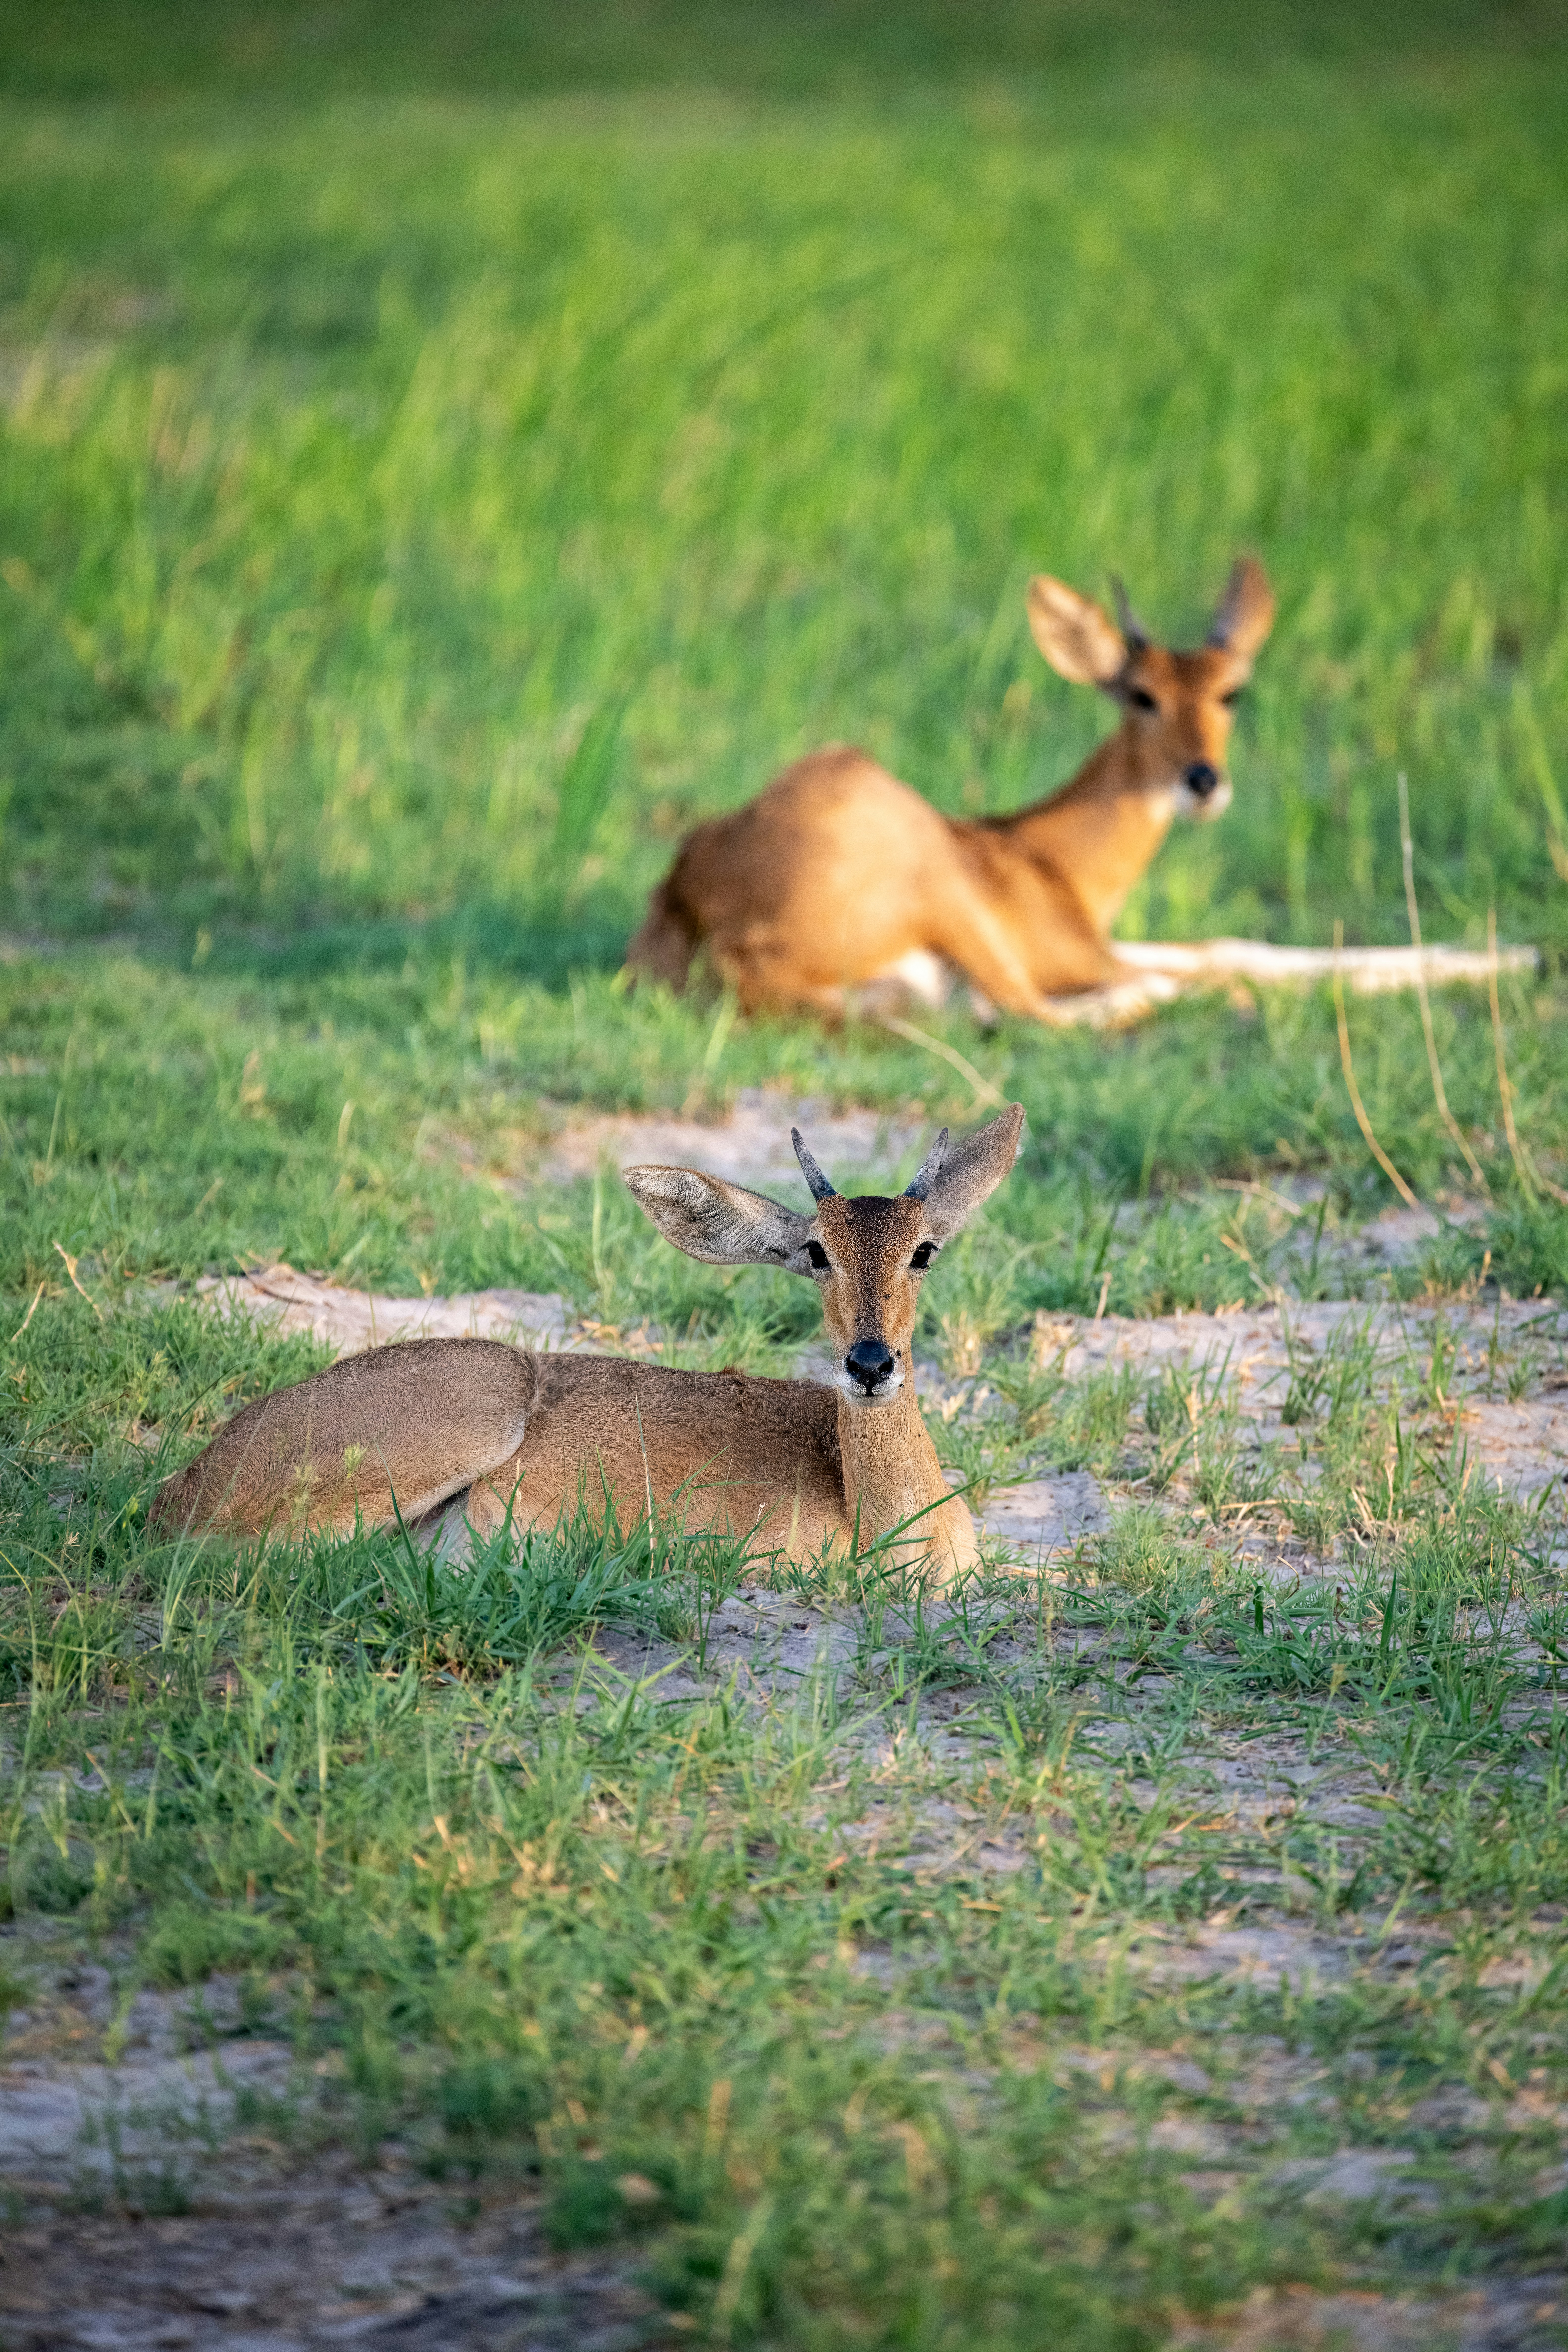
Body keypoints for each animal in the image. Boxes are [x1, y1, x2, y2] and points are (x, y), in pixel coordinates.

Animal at [624, 559, 1274, 1023]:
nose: (1203, 780)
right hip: (937, 887)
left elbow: (1224, 945)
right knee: (1037, 1012)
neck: (1053, 861)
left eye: (1231, 692)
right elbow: (1202, 967)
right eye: (1143, 695)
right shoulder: (1071, 952)